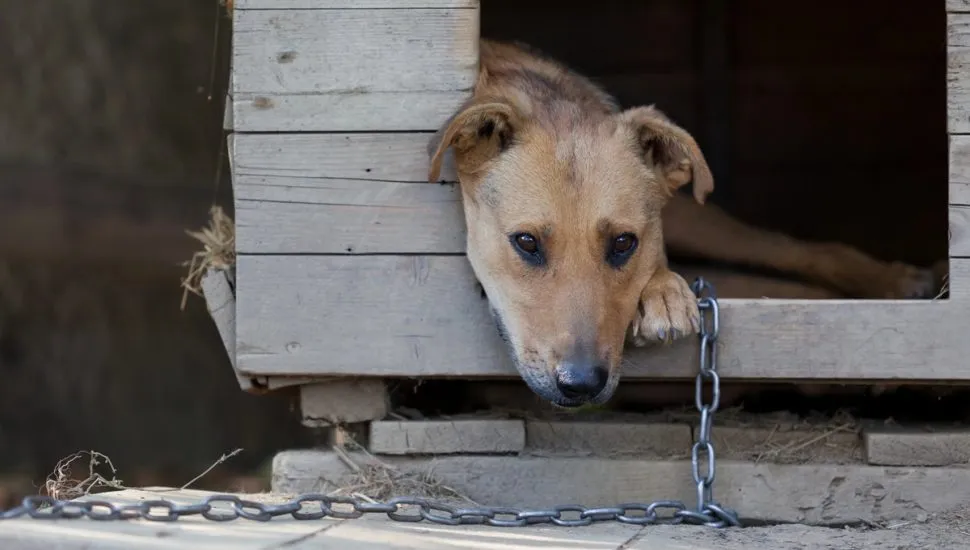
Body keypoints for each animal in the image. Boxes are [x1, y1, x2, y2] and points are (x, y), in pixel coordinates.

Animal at [428, 38, 940, 410]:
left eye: (623, 242)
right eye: (526, 242)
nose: (582, 384)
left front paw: (664, 291)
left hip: (700, 218)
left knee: (796, 252)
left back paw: (900, 285)